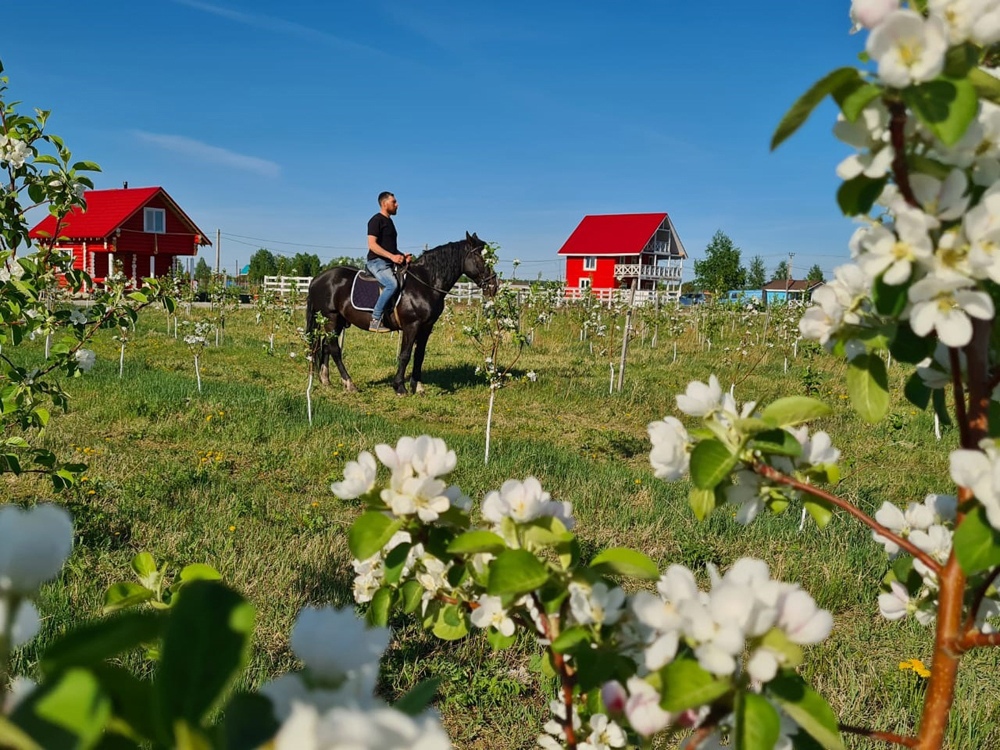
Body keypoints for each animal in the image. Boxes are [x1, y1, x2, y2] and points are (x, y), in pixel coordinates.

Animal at [300, 234, 496, 400]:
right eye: (480, 257)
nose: (493, 286)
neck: (425, 283)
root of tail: (317, 279)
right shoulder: (411, 326)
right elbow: (405, 355)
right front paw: (400, 387)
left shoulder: (426, 327)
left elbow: (419, 355)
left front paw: (418, 387)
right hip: (331, 318)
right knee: (334, 348)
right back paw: (349, 383)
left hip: (337, 320)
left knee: (325, 346)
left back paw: (326, 380)